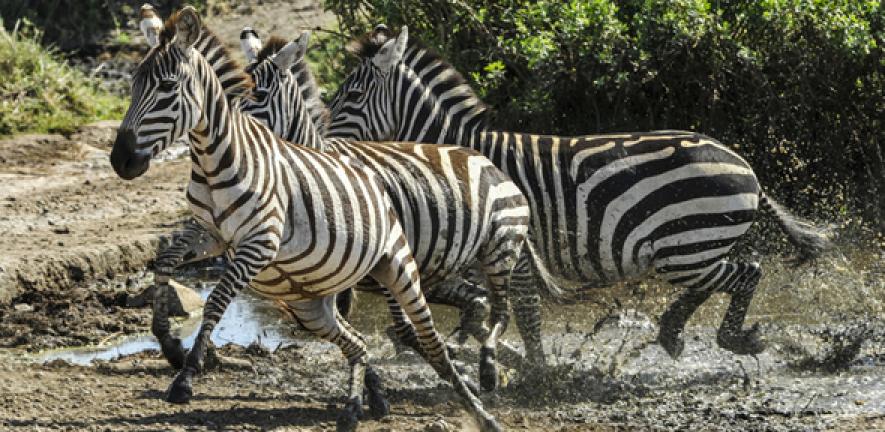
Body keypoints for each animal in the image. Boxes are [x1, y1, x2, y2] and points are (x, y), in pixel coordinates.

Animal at [109, 8, 504, 430]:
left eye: (167, 88)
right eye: (133, 86)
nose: (121, 160)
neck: (215, 162)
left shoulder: (259, 243)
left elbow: (215, 301)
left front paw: (186, 374)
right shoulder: (212, 235)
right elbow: (164, 260)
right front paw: (168, 343)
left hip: (403, 266)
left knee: (433, 332)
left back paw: (480, 399)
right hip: (320, 295)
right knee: (374, 334)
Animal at [328, 24, 832, 374]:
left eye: (350, 95)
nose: (322, 144)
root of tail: (745, 166)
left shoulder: (513, 249)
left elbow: (523, 311)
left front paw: (536, 370)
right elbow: (476, 308)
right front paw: (499, 356)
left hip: (687, 247)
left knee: (746, 273)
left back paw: (729, 339)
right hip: (691, 250)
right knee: (729, 275)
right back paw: (673, 332)